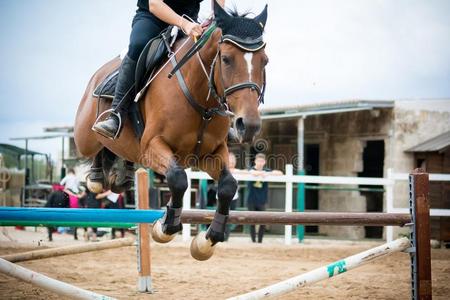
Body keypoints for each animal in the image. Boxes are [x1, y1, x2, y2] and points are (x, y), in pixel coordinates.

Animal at [73, 1, 268, 260]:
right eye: (226, 59)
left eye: (265, 61)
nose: (250, 125)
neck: (200, 98)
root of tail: (98, 74)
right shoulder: (152, 146)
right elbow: (178, 178)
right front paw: (165, 227)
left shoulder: (211, 153)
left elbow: (228, 185)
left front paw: (208, 240)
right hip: (84, 135)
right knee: (96, 144)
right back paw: (98, 167)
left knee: (117, 156)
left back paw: (122, 176)